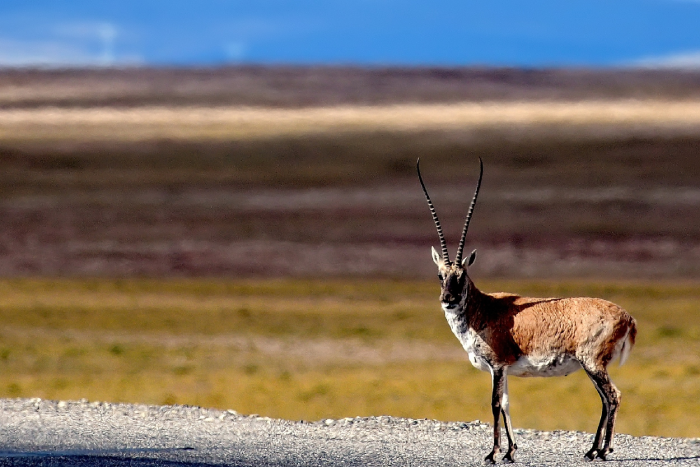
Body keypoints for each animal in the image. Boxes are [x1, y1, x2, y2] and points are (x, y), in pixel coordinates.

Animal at [418, 158, 636, 464]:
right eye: (441, 275)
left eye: (462, 276)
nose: (448, 299)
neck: (483, 308)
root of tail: (627, 317)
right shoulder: (504, 370)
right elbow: (507, 404)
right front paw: (510, 452)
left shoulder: (497, 366)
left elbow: (495, 403)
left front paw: (492, 453)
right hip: (591, 366)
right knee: (605, 399)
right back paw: (593, 450)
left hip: (592, 363)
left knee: (613, 396)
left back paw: (602, 451)